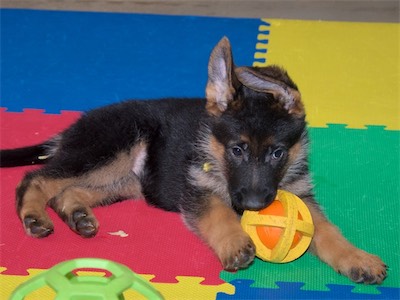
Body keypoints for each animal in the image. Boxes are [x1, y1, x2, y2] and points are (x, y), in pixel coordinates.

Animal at [0, 37, 388, 284]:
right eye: (237, 150)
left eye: (277, 152)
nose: (253, 205)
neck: (216, 151)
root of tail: (74, 126)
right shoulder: (197, 191)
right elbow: (218, 213)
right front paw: (234, 242)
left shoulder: (301, 197)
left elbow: (327, 230)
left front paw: (357, 258)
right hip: (108, 148)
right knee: (37, 178)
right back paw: (34, 216)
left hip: (123, 180)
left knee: (66, 191)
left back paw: (78, 216)